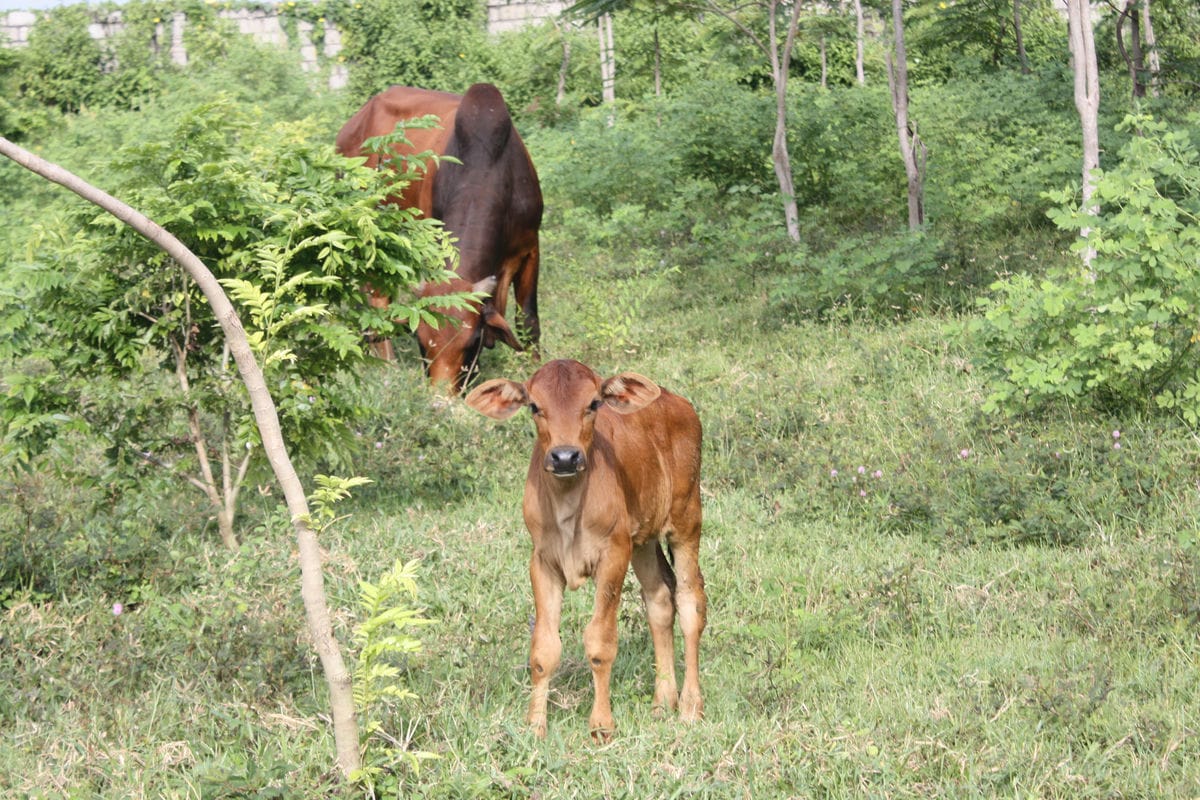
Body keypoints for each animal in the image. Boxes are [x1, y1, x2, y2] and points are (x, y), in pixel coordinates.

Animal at [338, 82, 544, 393]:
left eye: (473, 342)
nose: (440, 399)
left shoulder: (531, 247)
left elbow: (528, 322)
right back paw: (387, 366)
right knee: (377, 299)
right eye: (421, 342)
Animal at [460, 359, 700, 743]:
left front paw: (601, 725)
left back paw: (691, 707)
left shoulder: (613, 555)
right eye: (534, 406)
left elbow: (600, 642)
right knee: (660, 599)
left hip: (686, 521)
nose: (564, 457)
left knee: (691, 603)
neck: (568, 506)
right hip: (643, 540)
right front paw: (534, 726)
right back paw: (664, 701)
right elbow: (543, 648)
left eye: (593, 404)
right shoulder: (542, 561)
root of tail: (678, 402)